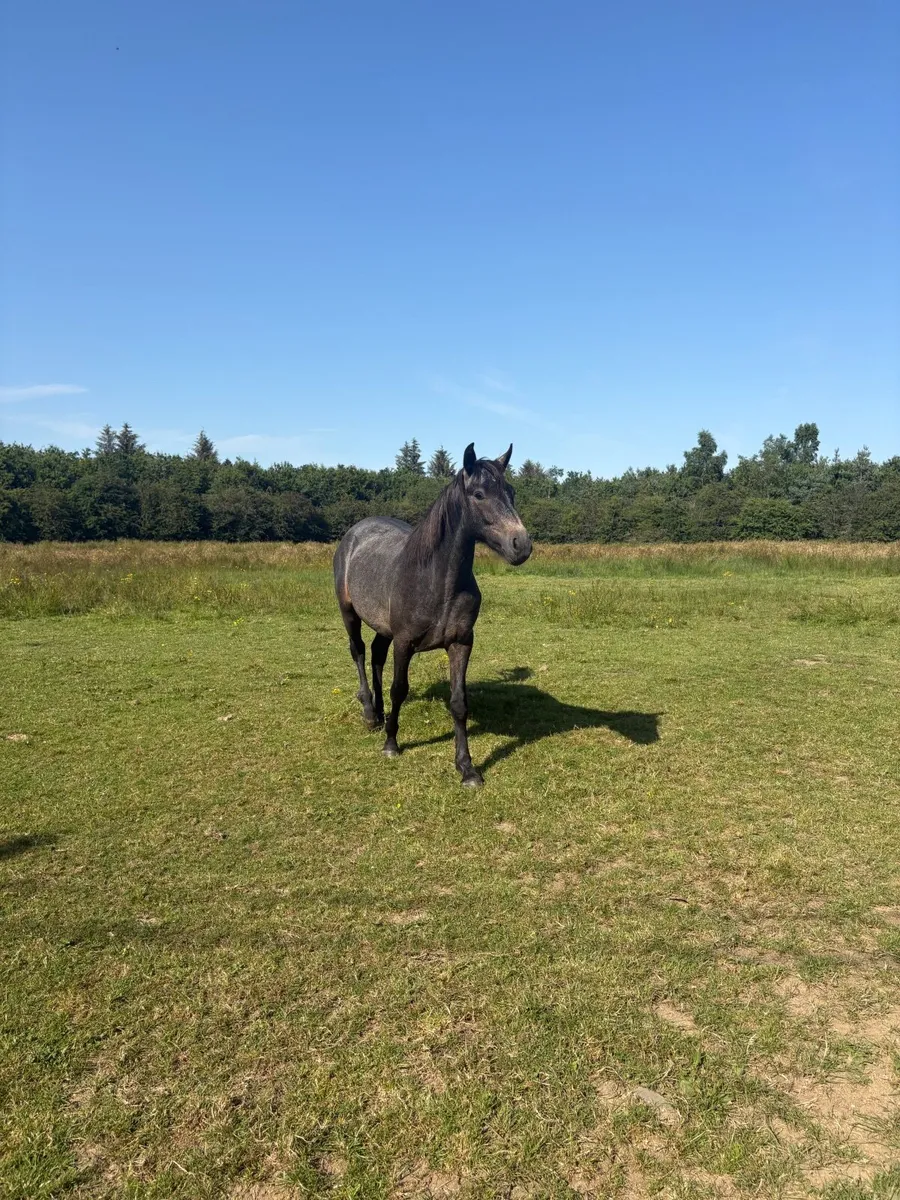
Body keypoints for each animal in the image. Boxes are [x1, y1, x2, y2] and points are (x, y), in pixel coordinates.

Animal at [332, 442, 532, 786]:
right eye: (479, 494)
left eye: (511, 491)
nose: (521, 545)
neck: (436, 579)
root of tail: (354, 533)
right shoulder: (404, 643)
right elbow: (400, 689)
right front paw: (391, 744)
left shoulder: (461, 643)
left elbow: (459, 702)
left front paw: (467, 769)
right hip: (350, 614)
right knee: (358, 651)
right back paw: (371, 713)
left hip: (384, 629)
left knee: (376, 655)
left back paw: (380, 713)